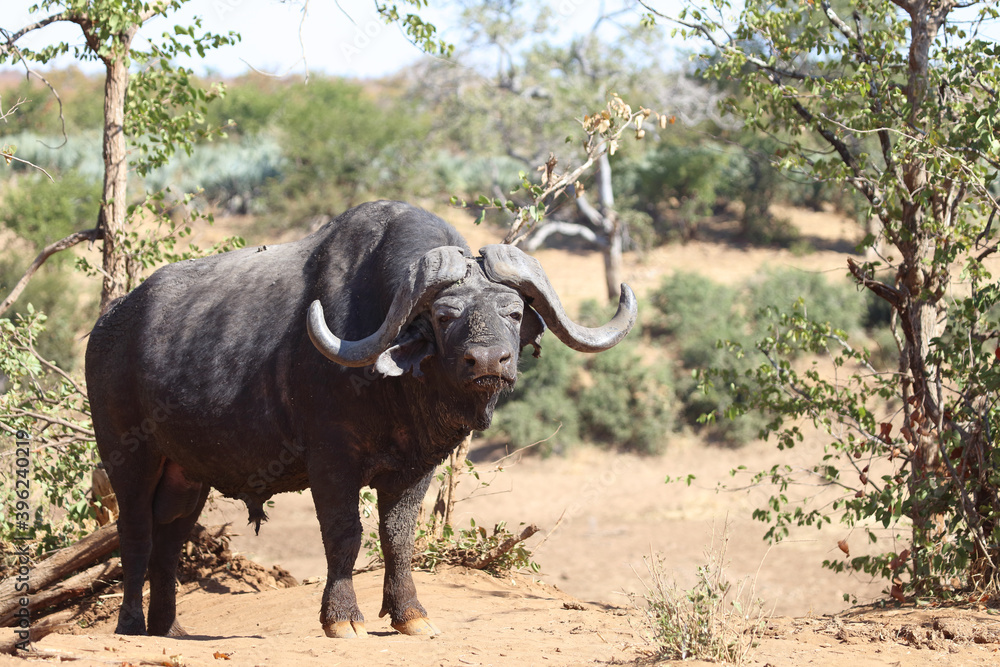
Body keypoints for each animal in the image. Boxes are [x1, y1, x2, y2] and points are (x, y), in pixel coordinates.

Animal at [86, 200, 636, 639]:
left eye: (514, 311)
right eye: (444, 316)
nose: (487, 361)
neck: (395, 388)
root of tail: (108, 326)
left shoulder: (417, 467)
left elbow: (397, 536)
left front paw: (410, 614)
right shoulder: (332, 462)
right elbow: (345, 534)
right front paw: (341, 617)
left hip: (187, 476)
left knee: (169, 541)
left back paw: (169, 627)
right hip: (129, 457)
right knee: (135, 533)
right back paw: (131, 624)